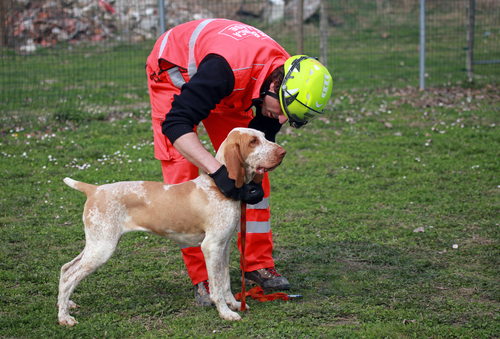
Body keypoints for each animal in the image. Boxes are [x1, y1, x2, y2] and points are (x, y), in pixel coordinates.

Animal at [56, 127, 286, 326]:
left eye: (264, 136)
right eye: (253, 141)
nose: (283, 152)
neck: (217, 187)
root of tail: (93, 189)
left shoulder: (224, 246)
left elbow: (225, 281)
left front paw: (235, 304)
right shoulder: (211, 247)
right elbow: (217, 288)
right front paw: (225, 313)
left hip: (96, 243)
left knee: (66, 268)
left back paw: (66, 304)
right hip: (102, 248)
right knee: (70, 277)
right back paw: (64, 317)